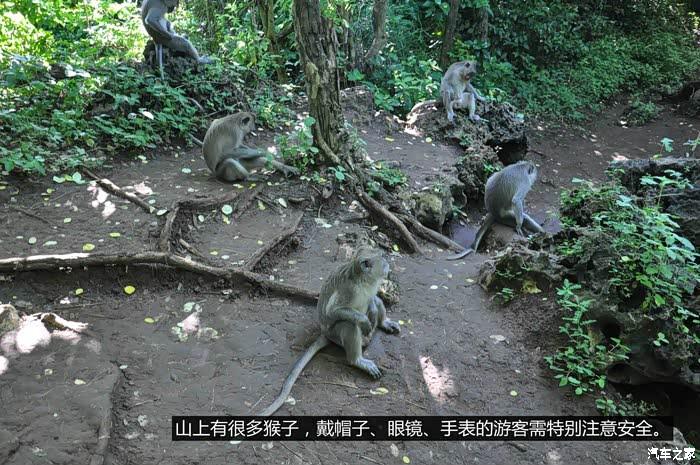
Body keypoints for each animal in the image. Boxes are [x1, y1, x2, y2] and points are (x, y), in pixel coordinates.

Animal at [257, 246, 401, 417]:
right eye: (381, 257)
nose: (387, 264)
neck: (364, 280)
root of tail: (325, 333)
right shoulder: (349, 290)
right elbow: (333, 311)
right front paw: (364, 320)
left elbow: (373, 299)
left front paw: (372, 311)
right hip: (335, 334)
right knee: (348, 324)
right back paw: (357, 360)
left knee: (377, 302)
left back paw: (383, 323)